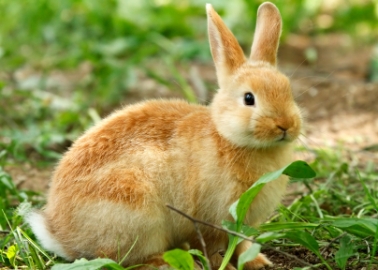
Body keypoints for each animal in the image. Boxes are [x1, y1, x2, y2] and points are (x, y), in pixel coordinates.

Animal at [25, 2, 302, 270]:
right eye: (248, 98)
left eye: (288, 90)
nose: (285, 125)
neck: (227, 137)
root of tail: (61, 236)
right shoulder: (209, 219)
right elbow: (213, 251)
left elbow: (243, 246)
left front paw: (258, 262)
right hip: (136, 212)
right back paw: (162, 262)